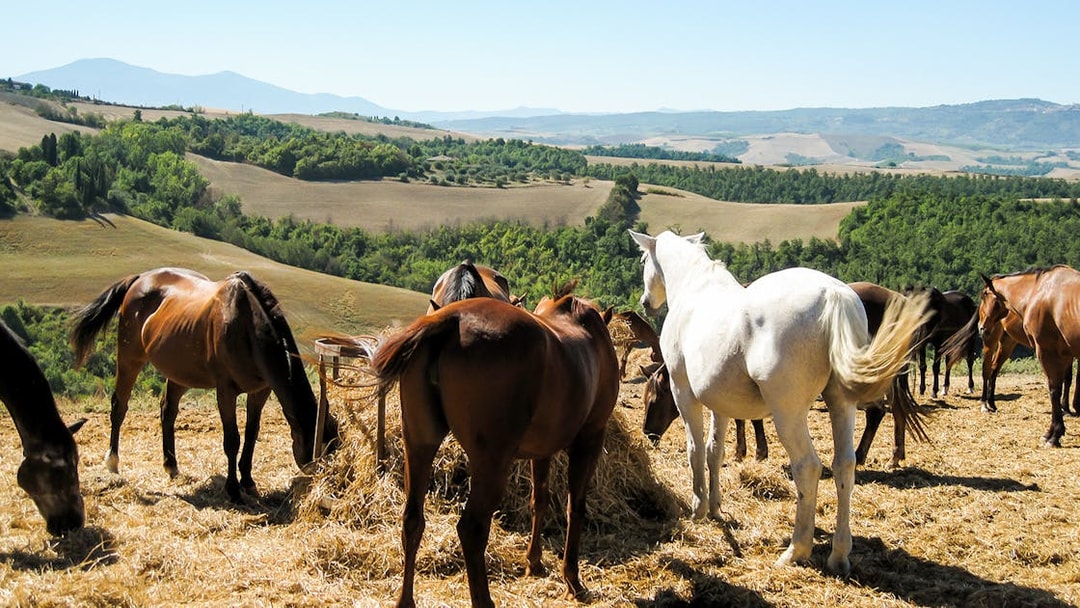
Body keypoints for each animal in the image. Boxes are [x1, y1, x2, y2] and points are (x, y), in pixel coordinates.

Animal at [70, 267, 340, 502]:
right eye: (322, 449)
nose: (328, 481)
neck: (247, 325)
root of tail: (139, 279)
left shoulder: (260, 391)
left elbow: (252, 434)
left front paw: (248, 482)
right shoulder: (226, 391)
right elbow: (232, 440)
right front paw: (233, 490)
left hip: (179, 372)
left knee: (168, 411)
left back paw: (172, 466)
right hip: (129, 359)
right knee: (119, 406)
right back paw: (113, 462)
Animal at [370, 283, 619, 607]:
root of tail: (451, 320)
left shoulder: (542, 450)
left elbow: (539, 500)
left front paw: (534, 562)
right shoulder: (589, 439)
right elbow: (575, 506)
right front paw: (572, 579)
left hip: (419, 444)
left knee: (412, 519)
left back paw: (405, 600)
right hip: (491, 463)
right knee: (471, 530)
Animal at [630, 230, 929, 574]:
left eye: (643, 260)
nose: (646, 302)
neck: (695, 287)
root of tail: (833, 295)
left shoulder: (684, 394)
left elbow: (696, 451)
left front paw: (699, 508)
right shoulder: (720, 403)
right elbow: (715, 451)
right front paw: (716, 507)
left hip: (788, 415)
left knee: (808, 467)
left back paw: (796, 550)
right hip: (841, 405)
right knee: (844, 465)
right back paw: (839, 554)